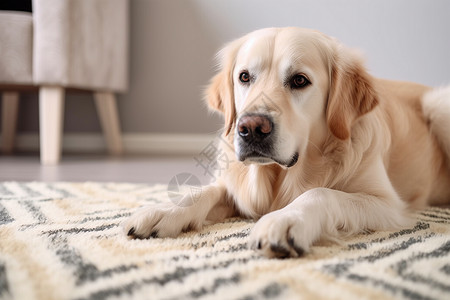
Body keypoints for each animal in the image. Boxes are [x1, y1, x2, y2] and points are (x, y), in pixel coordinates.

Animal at [122, 27, 450, 258]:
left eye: (299, 80)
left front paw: (285, 220)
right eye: (244, 77)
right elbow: (205, 191)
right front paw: (164, 210)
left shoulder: (387, 204)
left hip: (438, 104)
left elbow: (321, 192)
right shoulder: (238, 187)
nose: (251, 129)